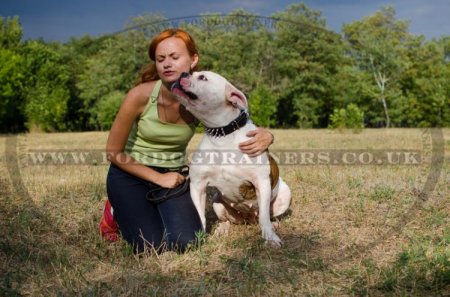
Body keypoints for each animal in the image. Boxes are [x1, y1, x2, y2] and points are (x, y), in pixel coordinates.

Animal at [170, 71, 292, 245]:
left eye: (202, 77)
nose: (183, 73)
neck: (222, 135)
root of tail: (248, 218)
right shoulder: (198, 186)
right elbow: (200, 215)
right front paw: (200, 237)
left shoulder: (261, 182)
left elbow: (264, 217)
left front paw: (270, 238)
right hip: (217, 203)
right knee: (227, 219)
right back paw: (222, 229)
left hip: (285, 194)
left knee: (266, 216)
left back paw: (274, 225)